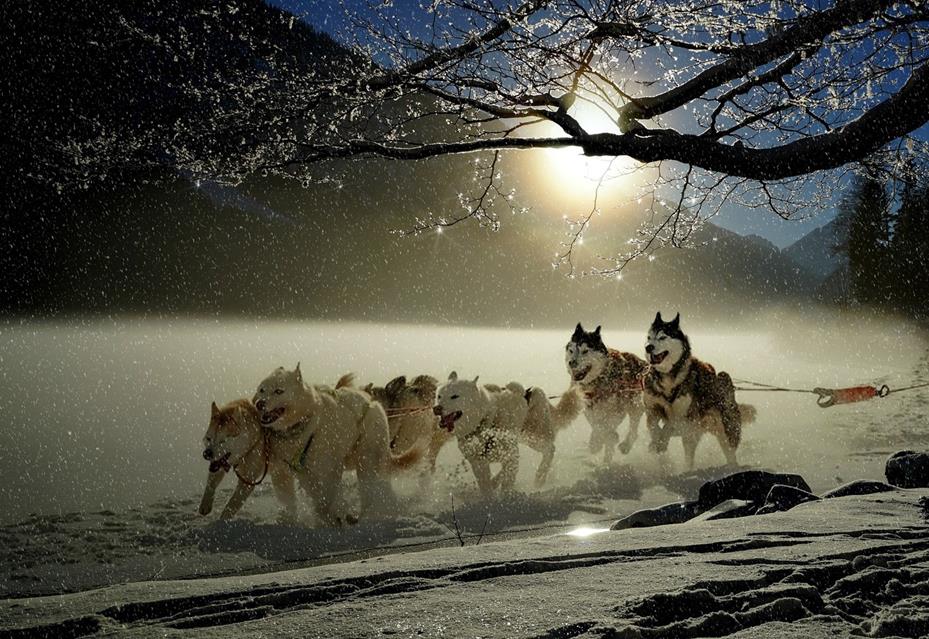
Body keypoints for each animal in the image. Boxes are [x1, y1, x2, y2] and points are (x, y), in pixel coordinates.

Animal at [252, 364, 421, 525]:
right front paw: (291, 520)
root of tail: (373, 402)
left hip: (367, 462)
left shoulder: (330, 469)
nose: (259, 404)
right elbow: (290, 500)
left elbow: (327, 499)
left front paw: (333, 517)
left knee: (372, 490)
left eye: (279, 391)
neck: (301, 426)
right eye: (262, 390)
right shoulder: (284, 472)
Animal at [565, 323, 648, 464]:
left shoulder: (617, 408)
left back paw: (625, 445)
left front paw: (602, 441)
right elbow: (596, 425)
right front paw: (596, 442)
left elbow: (607, 428)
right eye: (571, 351)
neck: (599, 379)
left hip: (634, 404)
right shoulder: (589, 407)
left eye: (585, 351)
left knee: (634, 429)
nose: (572, 363)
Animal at [643, 312, 756, 468]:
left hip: (726, 431)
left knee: (730, 453)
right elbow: (653, 426)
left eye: (662, 337)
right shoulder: (652, 409)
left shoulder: (688, 417)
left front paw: (661, 441)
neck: (669, 381)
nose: (648, 347)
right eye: (649, 337)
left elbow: (669, 425)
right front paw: (656, 443)